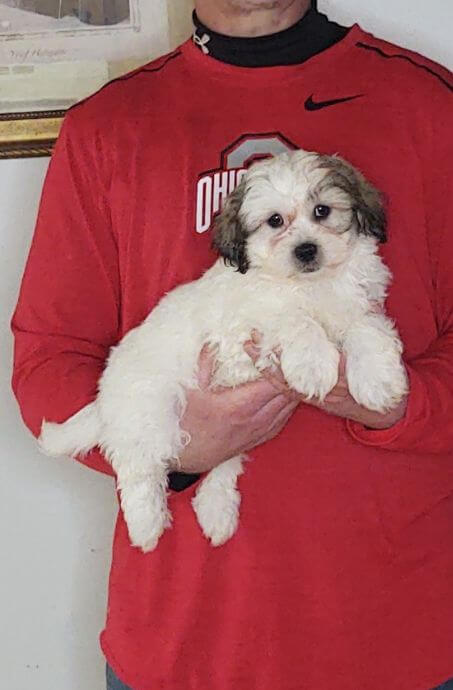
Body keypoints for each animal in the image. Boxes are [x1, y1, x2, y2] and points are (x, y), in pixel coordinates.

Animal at [38, 149, 406, 548]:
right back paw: (146, 523)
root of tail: (107, 392)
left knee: (222, 460)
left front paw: (380, 382)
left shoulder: (358, 304)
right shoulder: (249, 319)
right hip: (152, 408)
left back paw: (217, 511)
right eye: (275, 221)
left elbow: (366, 330)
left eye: (322, 211)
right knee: (138, 465)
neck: (311, 284)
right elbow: (294, 320)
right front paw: (314, 365)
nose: (306, 249)